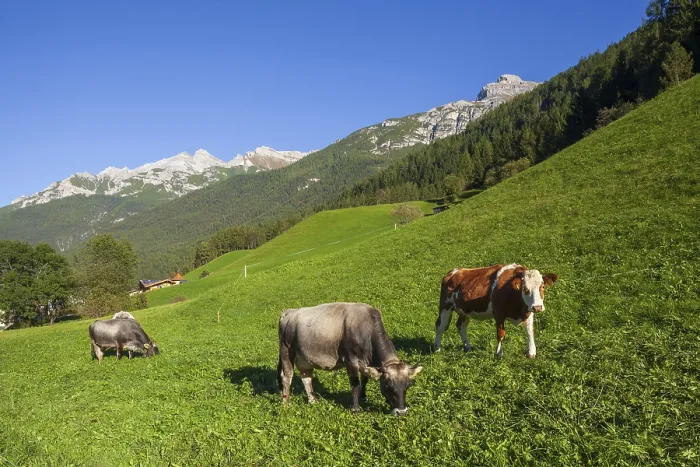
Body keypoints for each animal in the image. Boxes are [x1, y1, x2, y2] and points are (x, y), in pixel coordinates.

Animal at [277, 302, 423, 415]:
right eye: (388, 386)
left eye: (408, 385)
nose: (401, 412)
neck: (366, 329)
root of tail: (289, 312)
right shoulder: (350, 361)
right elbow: (355, 384)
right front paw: (355, 408)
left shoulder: (367, 362)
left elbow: (365, 380)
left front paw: (363, 397)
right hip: (286, 350)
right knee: (287, 376)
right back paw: (286, 403)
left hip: (305, 357)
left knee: (306, 377)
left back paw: (313, 400)